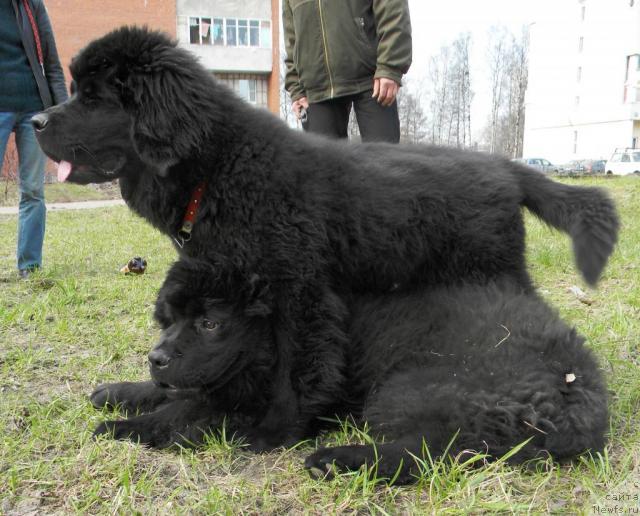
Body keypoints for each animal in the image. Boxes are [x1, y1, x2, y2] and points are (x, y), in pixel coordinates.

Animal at [33, 27, 616, 448]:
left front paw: (274, 431)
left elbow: (292, 368)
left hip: (489, 274)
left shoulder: (299, 289)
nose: (35, 120)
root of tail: (508, 168)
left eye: (93, 98)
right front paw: (128, 390)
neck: (220, 164)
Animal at [90, 262, 604, 484]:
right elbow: (180, 393)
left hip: (411, 387)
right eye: (166, 319)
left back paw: (337, 460)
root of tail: (578, 389)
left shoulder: (273, 405)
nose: (156, 357)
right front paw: (118, 392)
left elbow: (192, 407)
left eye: (210, 323)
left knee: (431, 451)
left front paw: (129, 428)